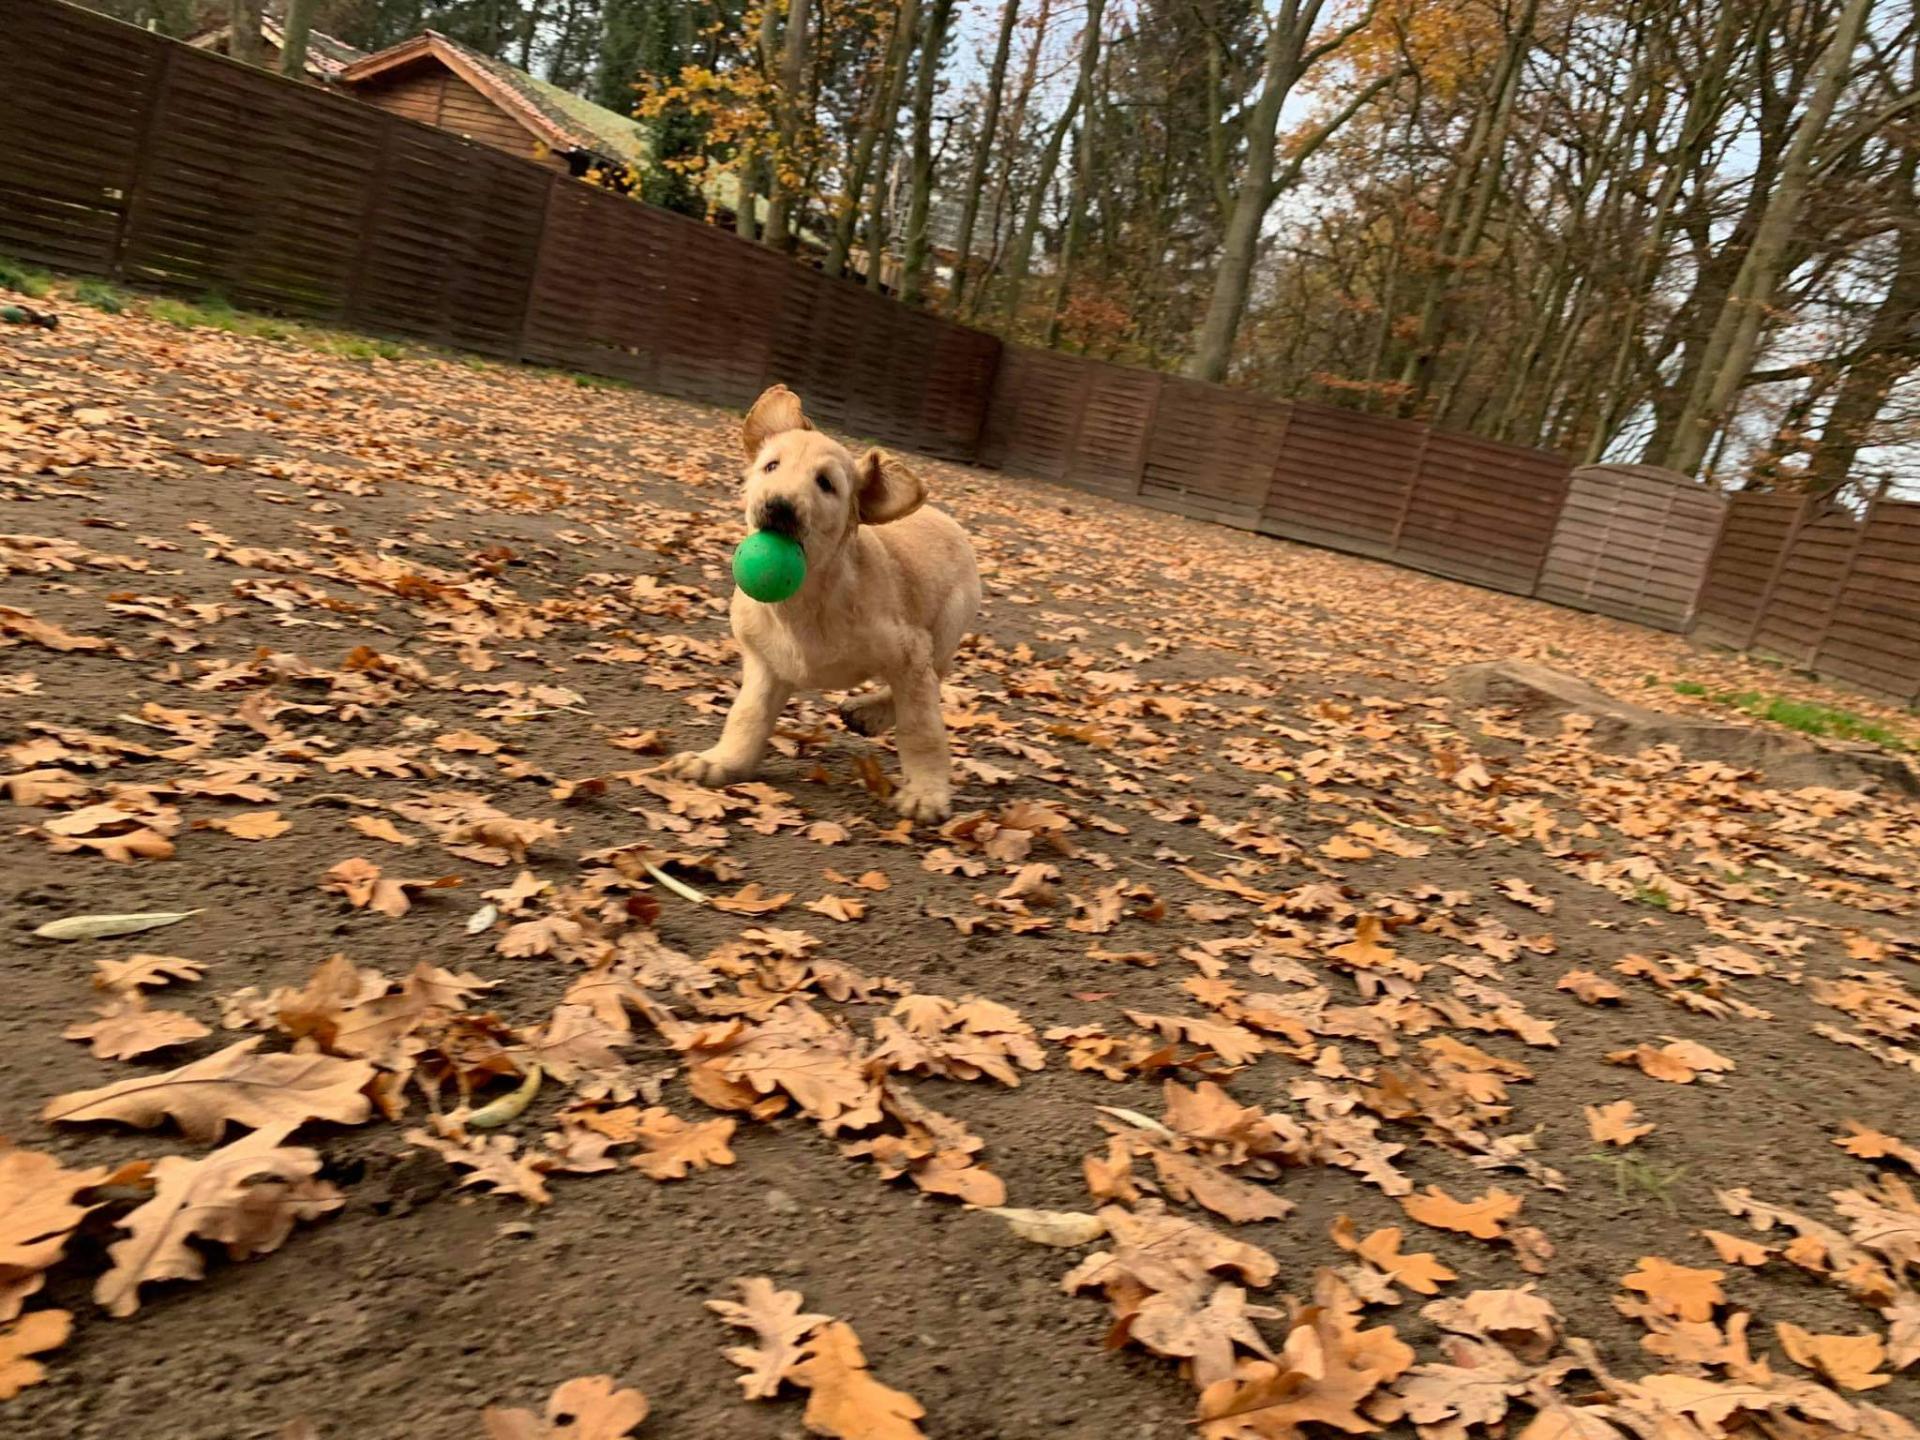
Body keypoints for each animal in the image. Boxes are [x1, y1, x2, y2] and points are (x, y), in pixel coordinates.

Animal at [665, 385, 981, 823]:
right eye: (771, 466)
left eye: (826, 484)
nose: (778, 505)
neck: (805, 599)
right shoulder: (765, 663)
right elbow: (746, 716)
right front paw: (720, 761)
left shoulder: (909, 651)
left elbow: (921, 727)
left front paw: (927, 793)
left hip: (946, 628)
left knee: (935, 677)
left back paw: (869, 712)